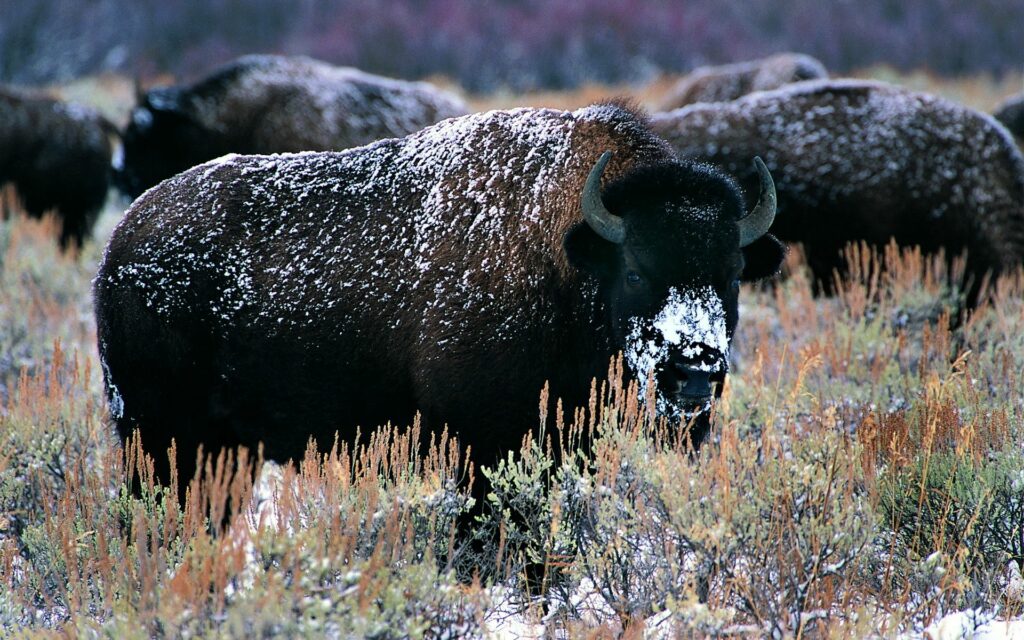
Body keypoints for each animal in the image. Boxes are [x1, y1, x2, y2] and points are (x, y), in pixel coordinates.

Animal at [95, 103, 784, 501]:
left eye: (733, 274)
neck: (566, 255)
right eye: (637, 272)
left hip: (226, 451)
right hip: (157, 438)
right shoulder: (484, 445)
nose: (695, 371)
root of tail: (121, 241)